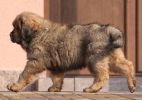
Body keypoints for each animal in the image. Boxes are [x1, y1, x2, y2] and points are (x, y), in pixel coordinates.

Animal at [7, 12, 136, 92]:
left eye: (16, 28)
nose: (10, 35)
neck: (37, 32)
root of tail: (109, 29)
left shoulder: (35, 61)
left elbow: (24, 74)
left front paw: (15, 86)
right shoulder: (55, 65)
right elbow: (57, 77)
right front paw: (55, 88)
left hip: (94, 59)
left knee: (102, 76)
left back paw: (92, 89)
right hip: (111, 58)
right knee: (127, 66)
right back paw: (132, 84)